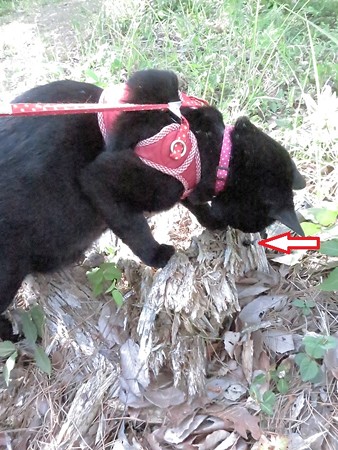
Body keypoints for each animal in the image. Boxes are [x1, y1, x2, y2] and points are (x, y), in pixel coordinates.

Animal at [0, 68, 304, 326]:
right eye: (258, 223)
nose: (251, 237)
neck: (210, 148)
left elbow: (193, 201)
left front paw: (211, 221)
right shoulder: (101, 179)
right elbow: (134, 228)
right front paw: (158, 255)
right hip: (11, 268)